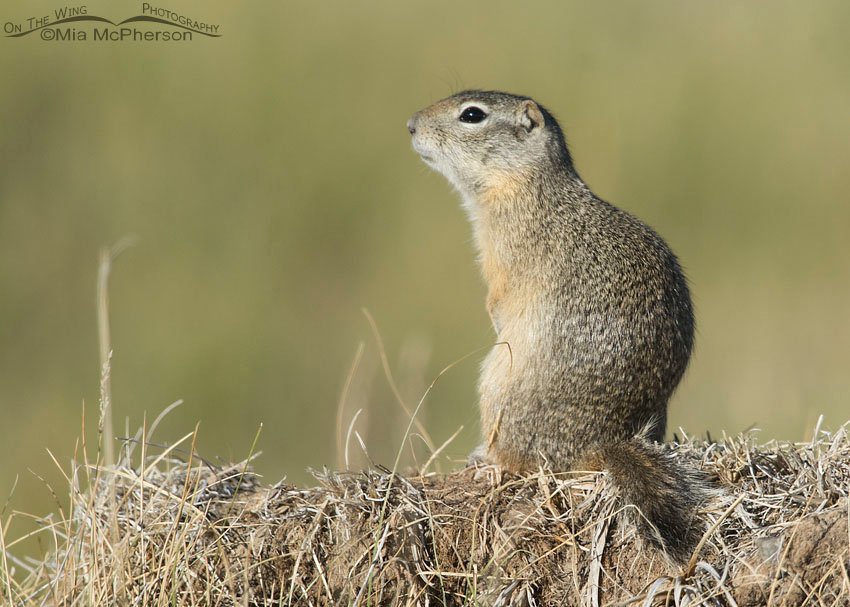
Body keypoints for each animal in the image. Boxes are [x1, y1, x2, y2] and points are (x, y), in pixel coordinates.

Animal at [407, 90, 713, 565]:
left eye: (472, 115)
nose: (410, 126)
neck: (528, 183)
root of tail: (604, 441)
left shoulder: (504, 252)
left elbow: (499, 295)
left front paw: (495, 314)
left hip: (496, 383)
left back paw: (485, 461)